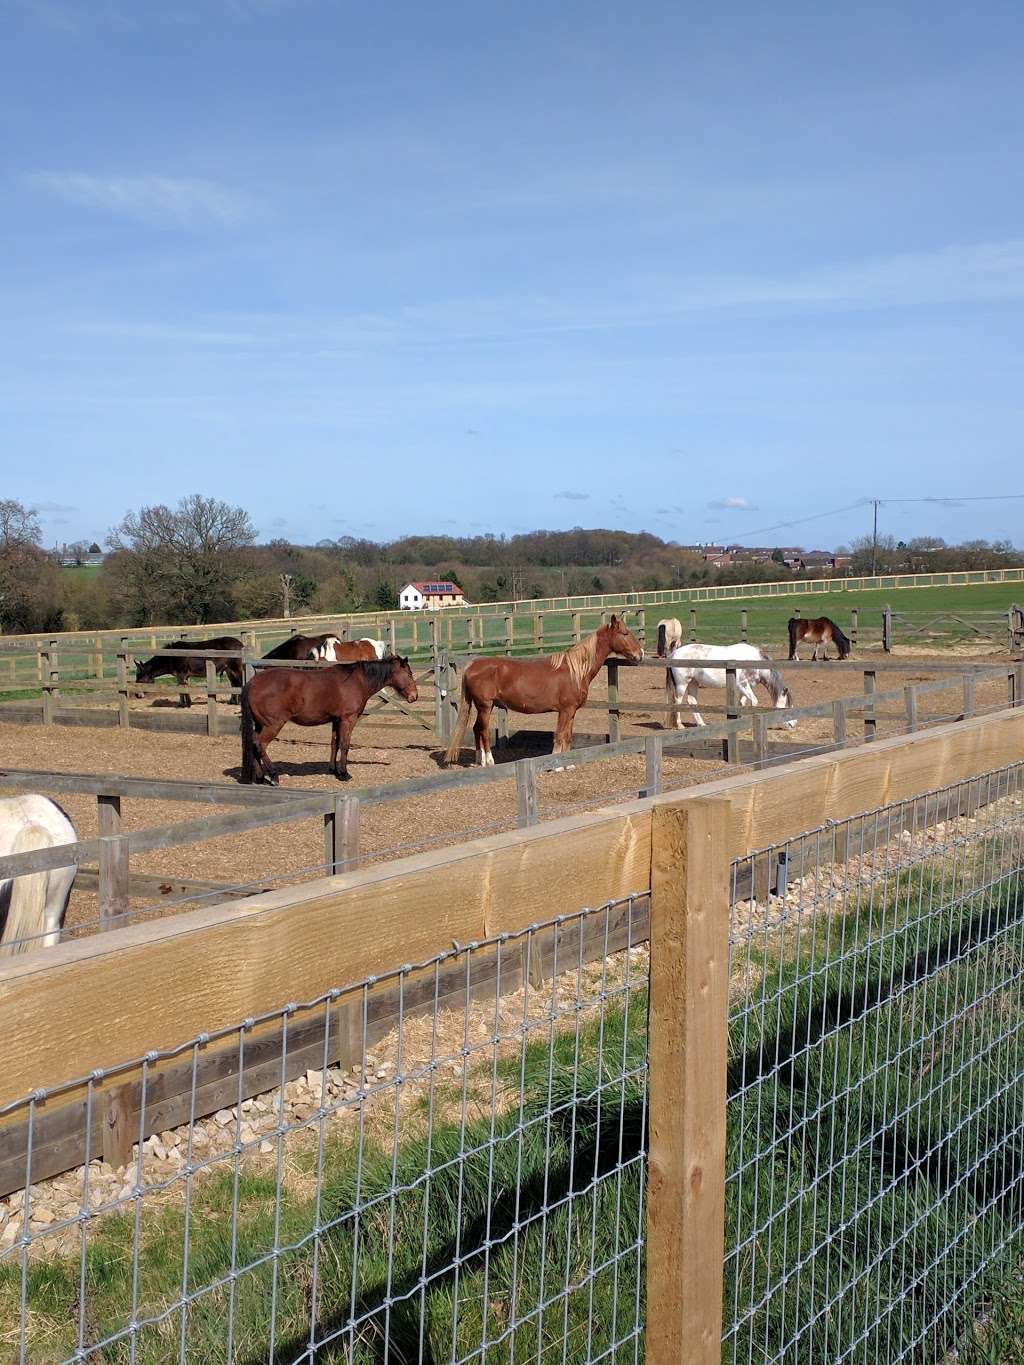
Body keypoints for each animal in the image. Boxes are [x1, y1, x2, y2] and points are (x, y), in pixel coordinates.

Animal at [238, 655, 417, 786]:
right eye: (409, 674)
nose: (414, 696)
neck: (358, 681)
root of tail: (253, 683)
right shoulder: (348, 719)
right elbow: (344, 745)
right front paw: (344, 773)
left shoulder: (336, 720)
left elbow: (334, 743)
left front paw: (334, 770)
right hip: (273, 725)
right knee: (260, 744)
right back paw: (273, 776)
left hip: (261, 725)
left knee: (253, 744)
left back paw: (260, 777)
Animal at [445, 619, 644, 769]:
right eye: (625, 633)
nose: (640, 653)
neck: (575, 670)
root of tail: (472, 665)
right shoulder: (565, 710)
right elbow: (560, 735)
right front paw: (557, 766)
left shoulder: (572, 712)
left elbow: (568, 736)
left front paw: (568, 764)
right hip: (485, 706)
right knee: (484, 731)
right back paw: (489, 761)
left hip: (485, 706)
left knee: (476, 729)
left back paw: (480, 761)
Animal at [666, 641, 802, 731]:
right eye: (787, 706)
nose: (793, 724)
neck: (752, 661)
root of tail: (673, 654)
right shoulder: (742, 684)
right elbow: (754, 701)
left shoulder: (745, 687)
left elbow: (742, 702)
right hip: (682, 684)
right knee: (677, 702)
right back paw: (680, 725)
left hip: (693, 682)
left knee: (691, 701)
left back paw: (701, 724)